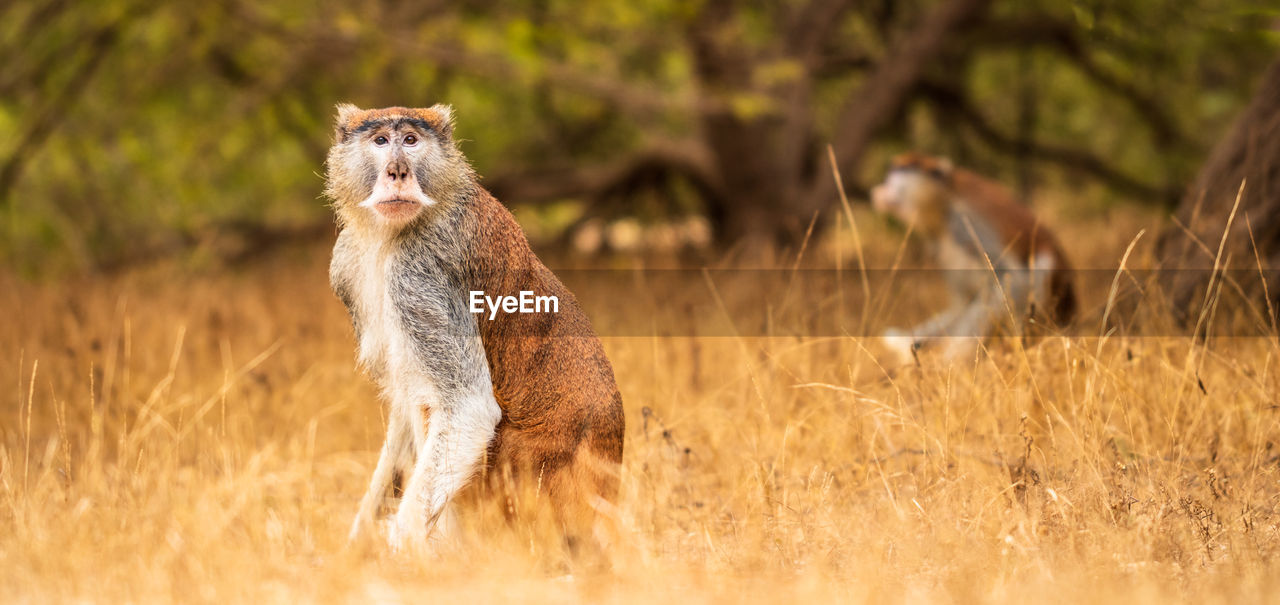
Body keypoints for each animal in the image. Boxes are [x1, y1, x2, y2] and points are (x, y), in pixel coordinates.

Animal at [327, 104, 627, 552]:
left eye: (411, 140)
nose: (397, 171)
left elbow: (468, 406)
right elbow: (403, 403)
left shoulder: (418, 276)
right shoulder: (347, 264)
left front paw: (400, 551)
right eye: (380, 140)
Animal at [870, 153, 1080, 360]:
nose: (883, 186)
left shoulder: (964, 221)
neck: (944, 196)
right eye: (891, 172)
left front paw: (951, 359)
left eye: (898, 172)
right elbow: (963, 302)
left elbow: (1012, 278)